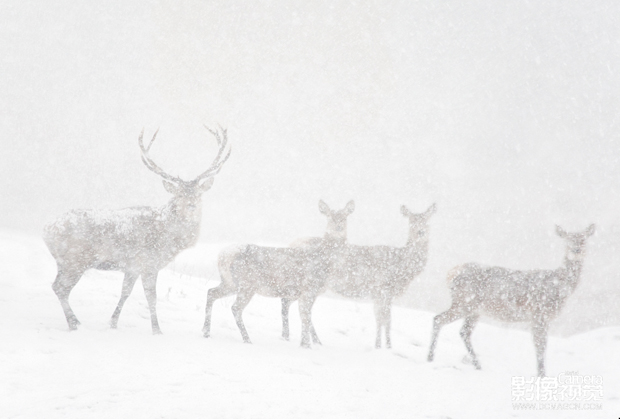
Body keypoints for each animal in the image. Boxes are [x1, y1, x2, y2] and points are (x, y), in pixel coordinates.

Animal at [43, 127, 230, 334]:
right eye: (179, 194)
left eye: (199, 194)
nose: (191, 205)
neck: (167, 239)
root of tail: (47, 229)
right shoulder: (149, 262)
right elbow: (151, 297)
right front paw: (157, 330)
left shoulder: (132, 266)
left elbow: (125, 292)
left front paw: (113, 323)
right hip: (76, 260)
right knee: (61, 288)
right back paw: (73, 323)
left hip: (65, 262)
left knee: (56, 286)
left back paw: (75, 321)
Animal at [201, 201, 352, 348]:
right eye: (329, 216)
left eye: (345, 217)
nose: (338, 227)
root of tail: (224, 255)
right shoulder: (309, 289)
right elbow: (306, 316)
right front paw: (309, 344)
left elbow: (305, 316)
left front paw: (311, 342)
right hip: (247, 284)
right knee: (236, 308)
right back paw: (247, 339)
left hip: (230, 283)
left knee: (211, 292)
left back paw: (206, 332)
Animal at [426, 225, 596, 376]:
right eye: (567, 240)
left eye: (583, 240)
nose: (576, 250)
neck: (560, 287)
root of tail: (451, 273)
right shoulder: (539, 313)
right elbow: (540, 346)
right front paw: (541, 374)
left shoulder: (539, 317)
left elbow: (540, 345)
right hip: (464, 303)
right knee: (438, 319)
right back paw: (430, 357)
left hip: (474, 309)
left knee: (463, 332)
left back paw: (477, 365)